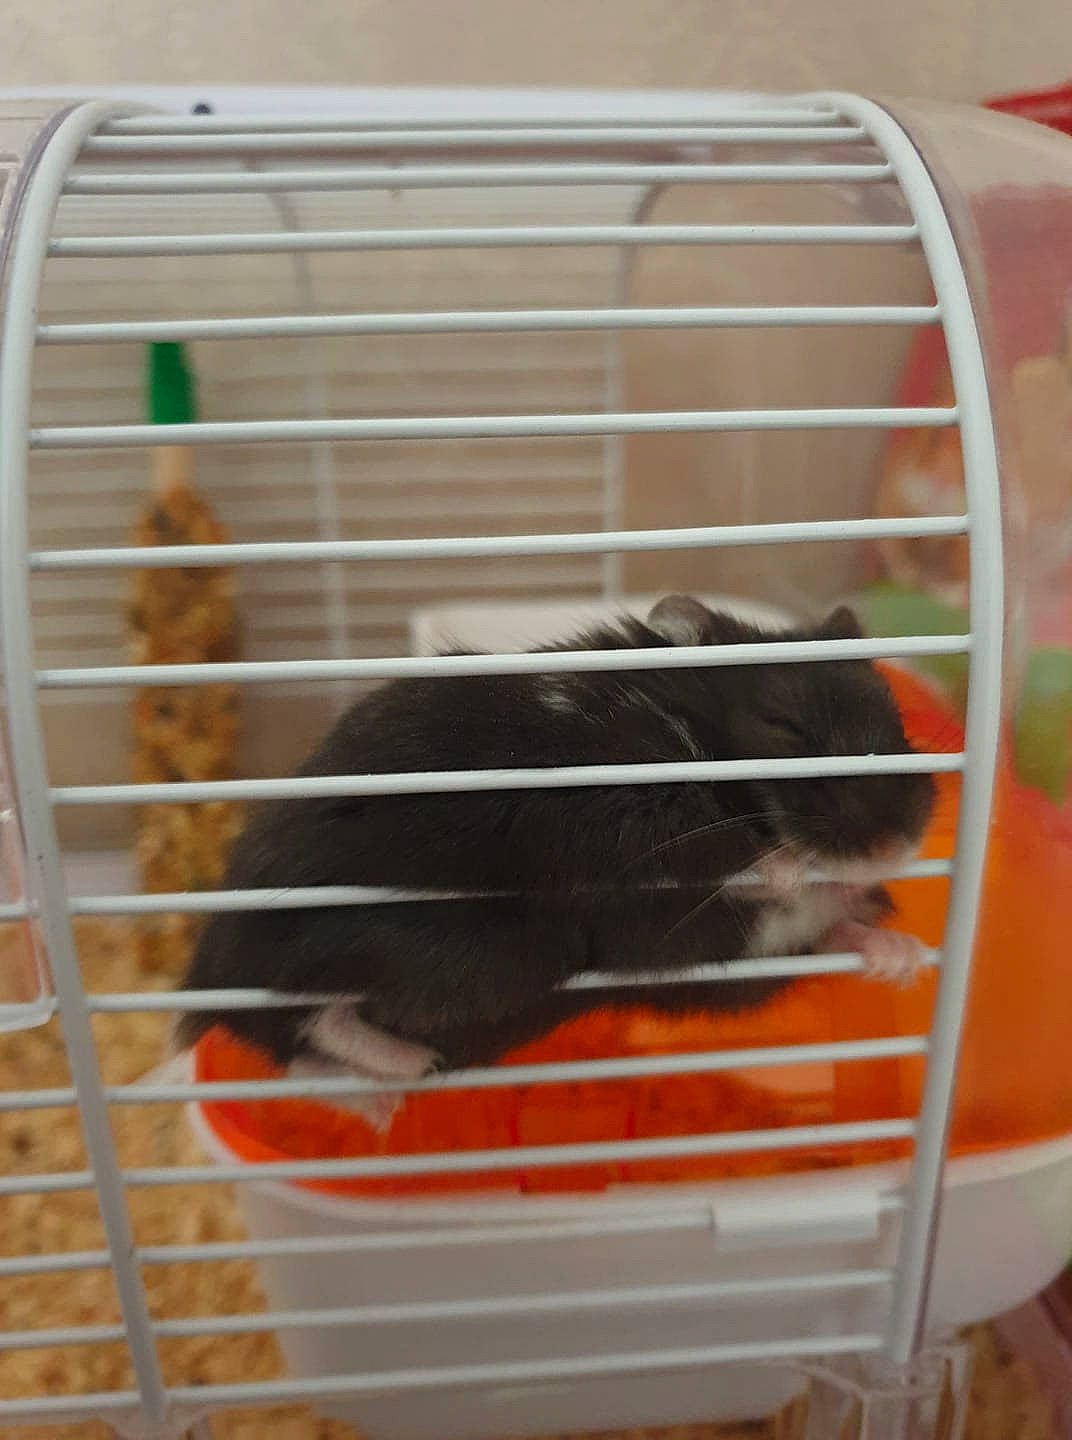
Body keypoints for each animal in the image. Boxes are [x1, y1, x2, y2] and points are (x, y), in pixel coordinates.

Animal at [175, 595, 936, 1116]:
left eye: (899, 726)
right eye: (785, 726)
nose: (894, 845)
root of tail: (205, 963)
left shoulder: (754, 959)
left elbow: (828, 920)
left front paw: (899, 957)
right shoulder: (621, 807)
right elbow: (708, 853)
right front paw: (782, 868)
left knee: (295, 1056)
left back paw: (387, 1091)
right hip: (468, 946)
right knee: (303, 1011)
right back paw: (396, 1062)